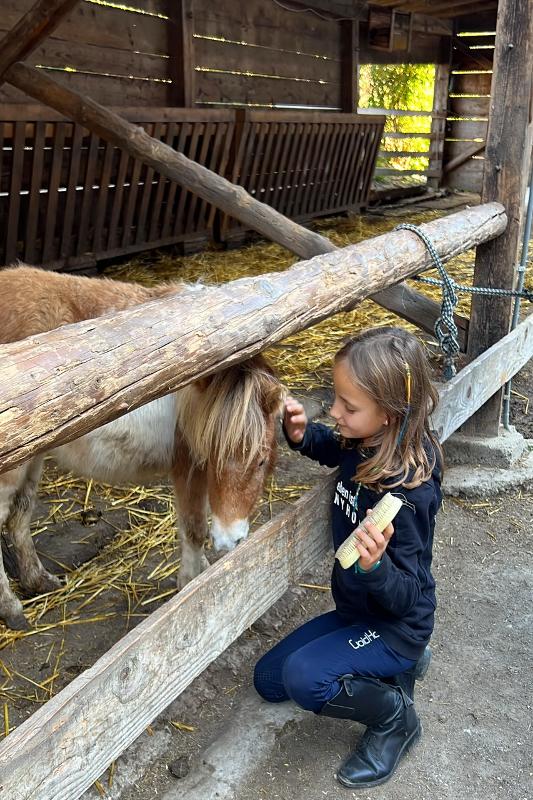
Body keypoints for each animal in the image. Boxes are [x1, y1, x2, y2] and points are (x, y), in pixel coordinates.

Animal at [0, 268, 284, 632]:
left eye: (260, 462)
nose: (229, 542)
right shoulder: (188, 467)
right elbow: (194, 529)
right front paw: (191, 585)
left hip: (32, 456)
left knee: (20, 515)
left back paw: (39, 581)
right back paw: (11, 609)